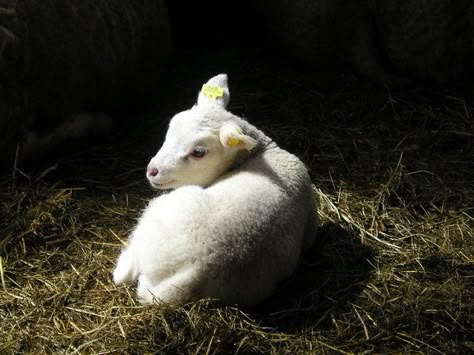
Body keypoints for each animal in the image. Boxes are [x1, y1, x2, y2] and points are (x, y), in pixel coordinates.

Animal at [112, 74, 316, 306]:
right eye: (169, 130)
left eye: (198, 152)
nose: (152, 171)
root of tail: (197, 269)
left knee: (125, 272)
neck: (266, 151)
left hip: (160, 210)